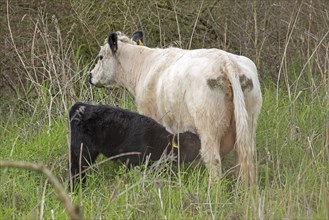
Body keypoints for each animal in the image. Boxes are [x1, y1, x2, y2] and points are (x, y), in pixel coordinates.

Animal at [89, 31, 262, 185]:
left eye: (101, 57)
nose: (90, 75)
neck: (144, 65)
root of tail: (226, 60)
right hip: (248, 124)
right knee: (244, 157)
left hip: (208, 126)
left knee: (213, 159)